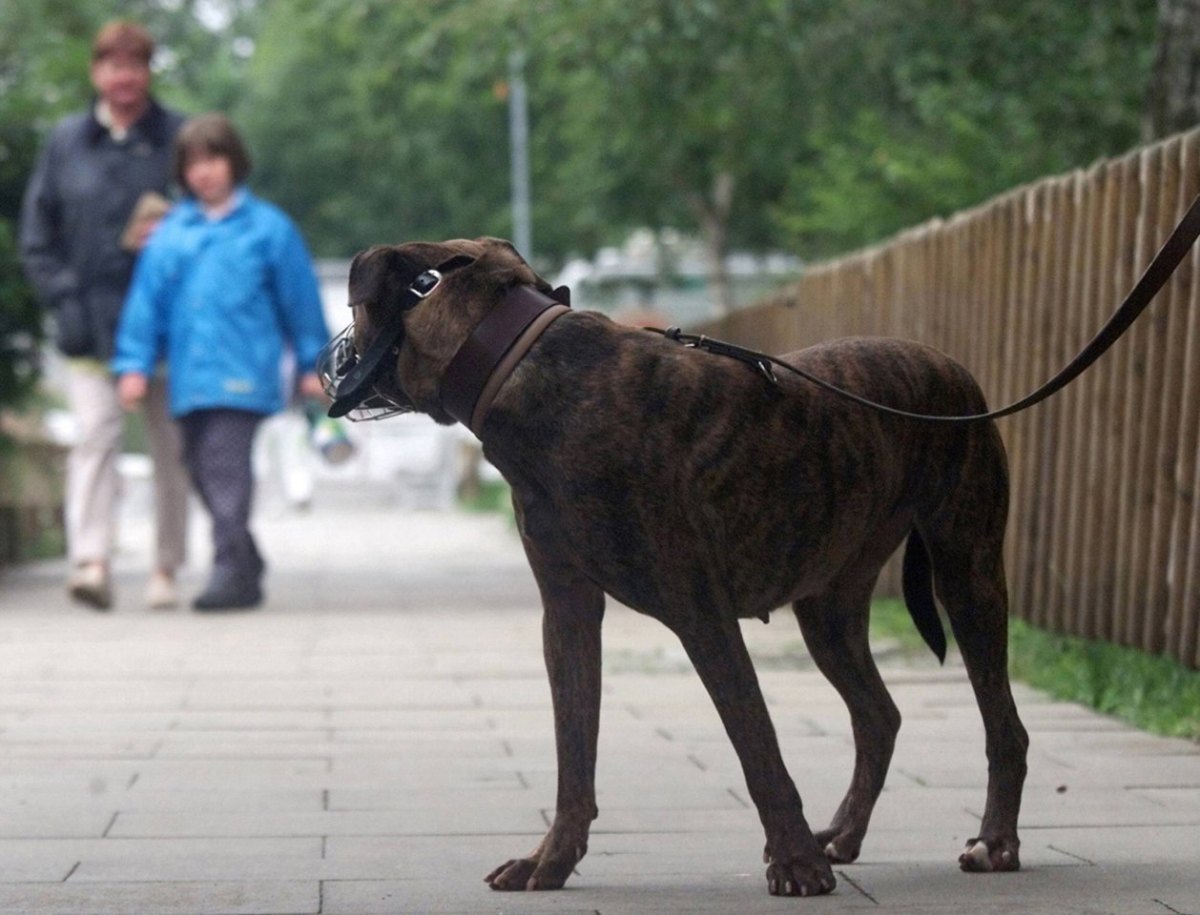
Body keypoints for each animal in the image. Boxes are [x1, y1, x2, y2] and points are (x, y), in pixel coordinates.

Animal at [340, 232, 1032, 893]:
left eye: (354, 309)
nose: (333, 357)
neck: (523, 365)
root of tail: (954, 369)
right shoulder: (568, 615)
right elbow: (574, 753)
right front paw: (553, 860)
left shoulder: (703, 617)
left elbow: (758, 746)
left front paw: (796, 865)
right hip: (828, 609)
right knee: (879, 716)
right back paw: (843, 832)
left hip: (967, 575)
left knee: (1004, 728)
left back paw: (994, 843)